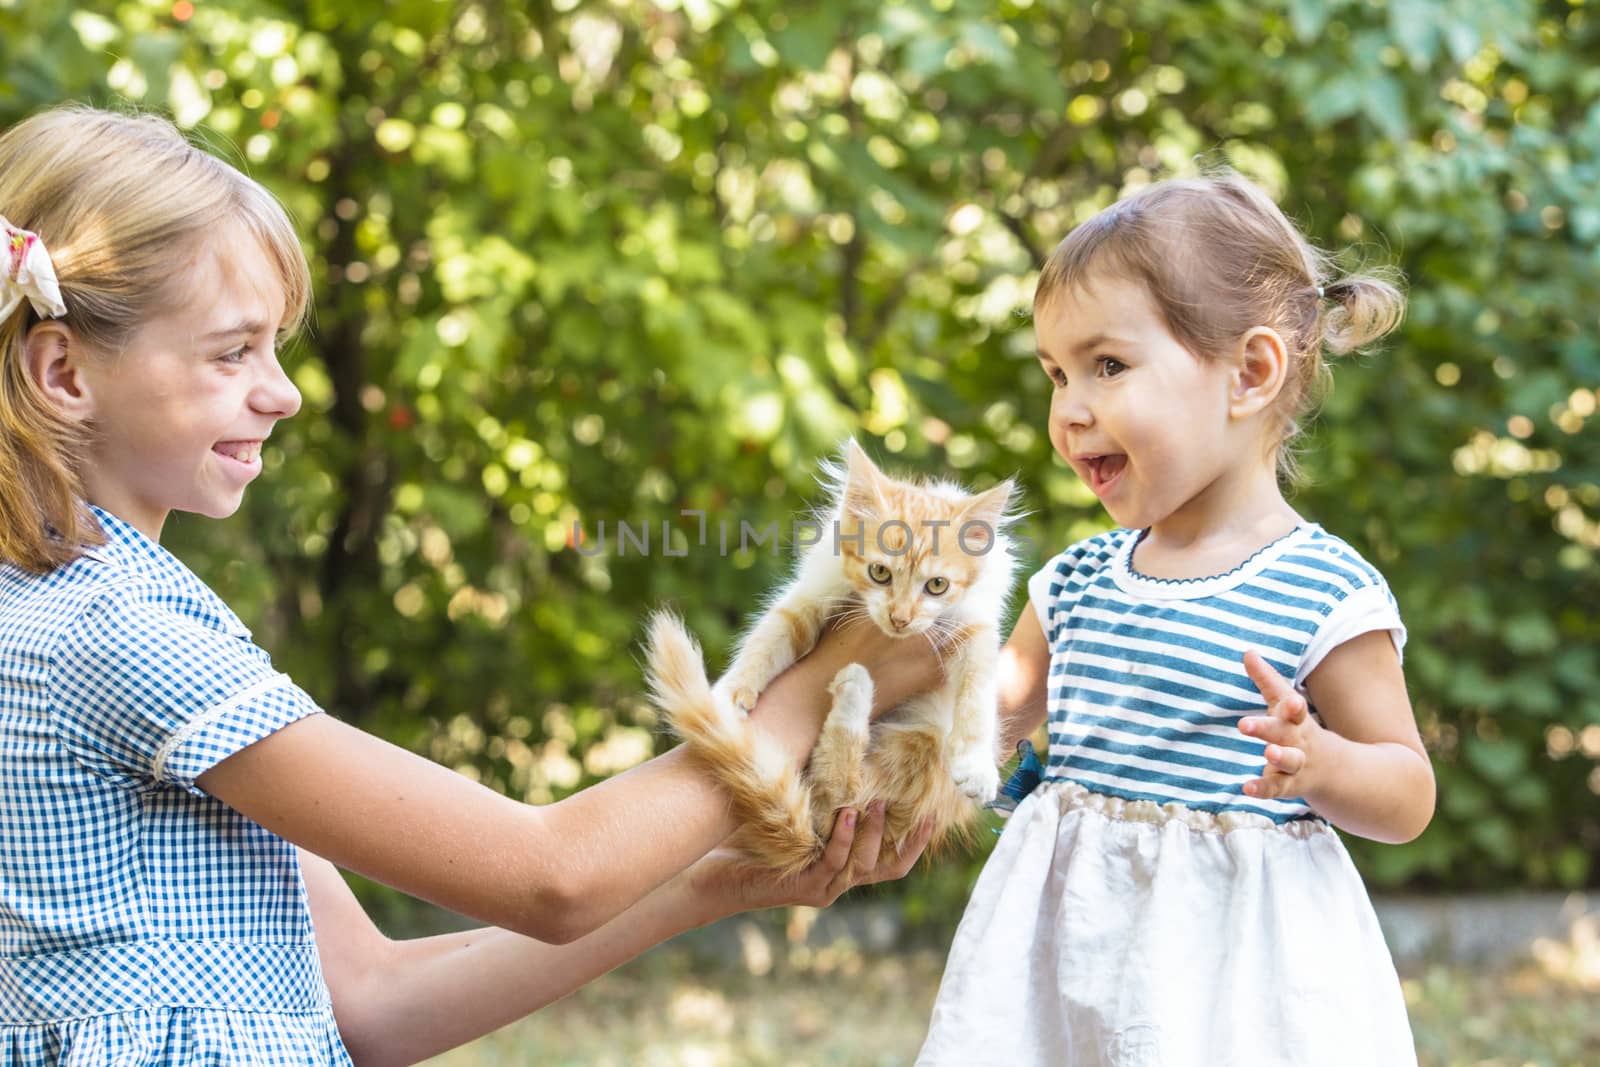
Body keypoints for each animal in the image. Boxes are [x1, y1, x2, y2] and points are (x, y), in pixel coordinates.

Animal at [643, 438, 1017, 870]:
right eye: (880, 573)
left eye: (937, 585)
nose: (900, 619)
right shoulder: (810, 596)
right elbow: (767, 640)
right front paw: (726, 694)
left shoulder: (975, 630)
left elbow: (977, 696)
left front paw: (976, 765)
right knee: (833, 796)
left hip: (923, 744)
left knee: (841, 795)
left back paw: (855, 691)